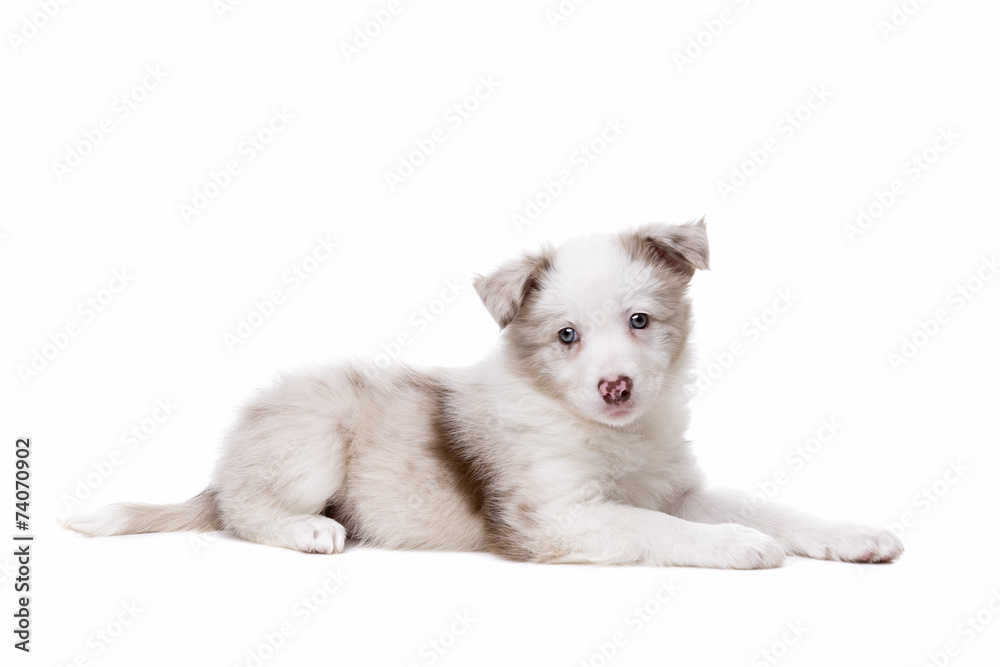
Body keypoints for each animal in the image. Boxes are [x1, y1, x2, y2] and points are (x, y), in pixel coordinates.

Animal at [66, 219, 904, 568]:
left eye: (640, 320)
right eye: (566, 334)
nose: (616, 384)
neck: (610, 433)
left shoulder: (674, 485)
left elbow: (760, 502)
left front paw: (851, 533)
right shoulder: (551, 516)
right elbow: (649, 526)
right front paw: (736, 544)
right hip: (309, 438)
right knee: (241, 510)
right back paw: (310, 531)